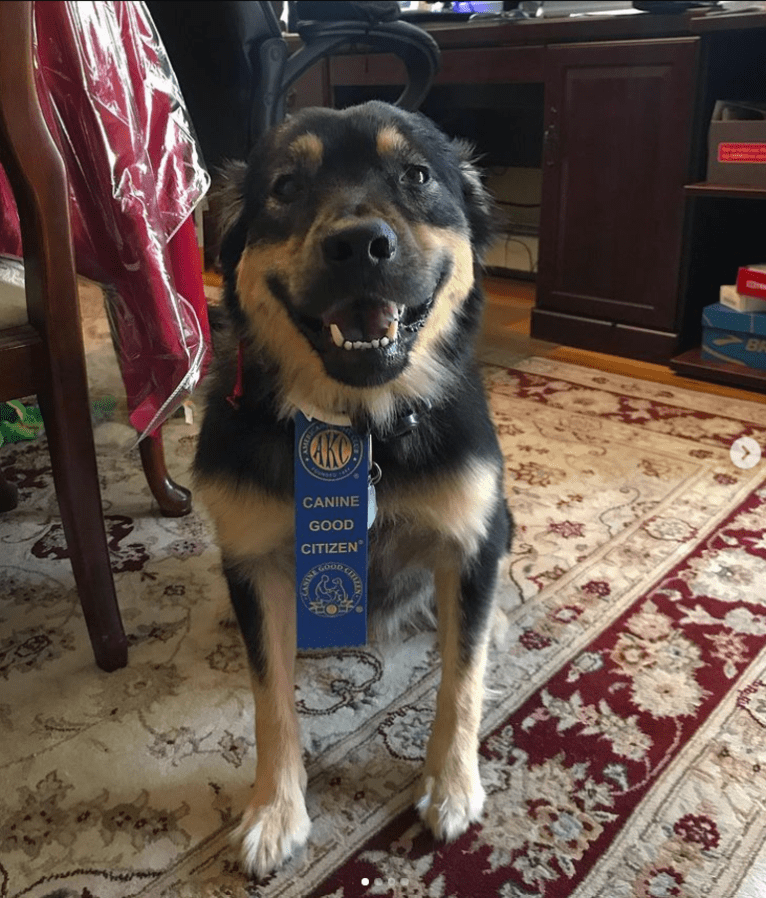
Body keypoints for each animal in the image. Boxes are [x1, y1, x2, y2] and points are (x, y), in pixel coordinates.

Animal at [195, 100, 512, 876]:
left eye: (418, 175)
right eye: (284, 186)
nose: (359, 244)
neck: (365, 424)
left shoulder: (474, 535)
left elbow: (463, 677)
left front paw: (451, 786)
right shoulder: (254, 561)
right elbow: (269, 698)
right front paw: (275, 812)